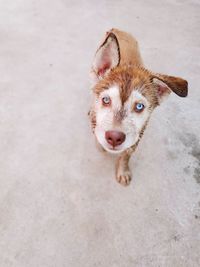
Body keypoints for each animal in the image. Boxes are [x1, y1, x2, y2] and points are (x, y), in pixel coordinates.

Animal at [88, 27, 188, 186]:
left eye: (139, 106)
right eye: (106, 100)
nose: (114, 138)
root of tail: (117, 29)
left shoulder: (137, 136)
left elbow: (126, 155)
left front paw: (123, 171)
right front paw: (99, 144)